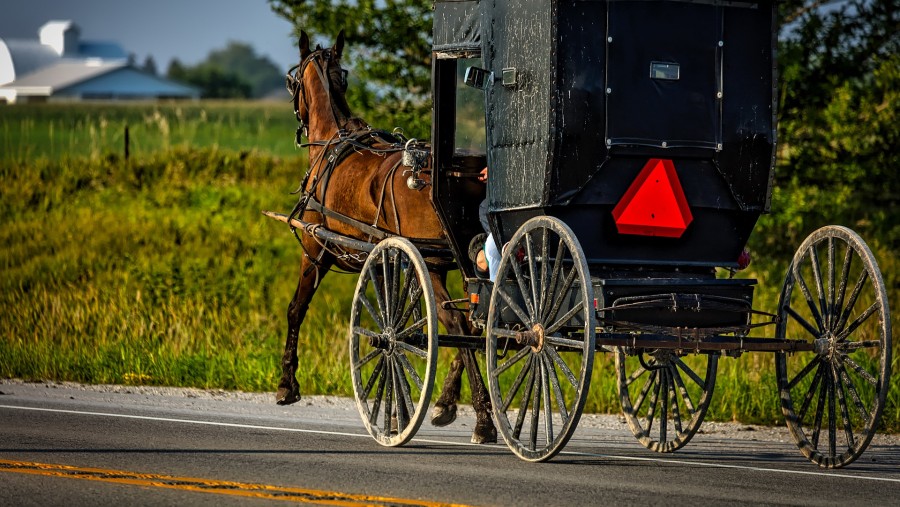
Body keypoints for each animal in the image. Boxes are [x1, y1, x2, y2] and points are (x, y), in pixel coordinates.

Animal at [276, 30, 496, 444]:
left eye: (292, 82)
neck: (332, 141)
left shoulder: (315, 252)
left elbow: (296, 309)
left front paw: (286, 384)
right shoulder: (385, 262)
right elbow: (400, 324)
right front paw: (398, 411)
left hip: (432, 264)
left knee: (459, 325)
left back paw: (483, 417)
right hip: (458, 263)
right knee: (478, 322)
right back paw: (447, 404)